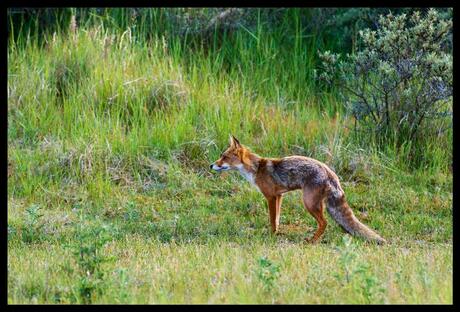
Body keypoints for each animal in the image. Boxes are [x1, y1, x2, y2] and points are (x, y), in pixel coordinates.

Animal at [210, 135, 386, 245]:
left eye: (223, 157)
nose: (211, 165)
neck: (257, 169)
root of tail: (330, 172)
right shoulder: (279, 196)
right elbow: (277, 219)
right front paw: (277, 232)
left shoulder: (270, 197)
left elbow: (272, 220)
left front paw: (271, 235)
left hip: (309, 203)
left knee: (324, 223)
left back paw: (312, 241)